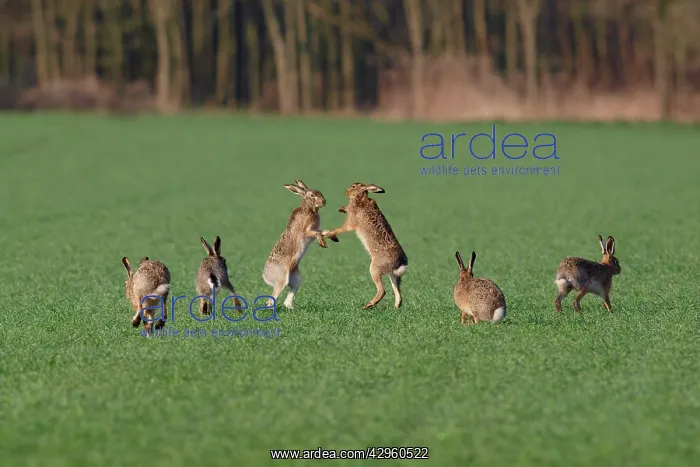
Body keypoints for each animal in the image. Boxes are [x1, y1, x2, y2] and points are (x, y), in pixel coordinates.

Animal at [263, 179, 338, 309]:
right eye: (312, 195)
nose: (324, 202)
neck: (309, 209)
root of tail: (265, 275)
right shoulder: (306, 231)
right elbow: (317, 233)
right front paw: (323, 243)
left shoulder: (315, 229)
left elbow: (323, 231)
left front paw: (334, 238)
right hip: (281, 280)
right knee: (271, 299)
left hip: (296, 279)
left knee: (289, 294)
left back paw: (290, 308)